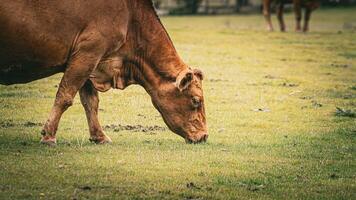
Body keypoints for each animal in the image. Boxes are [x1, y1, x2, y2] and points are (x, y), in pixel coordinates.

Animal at [0, 0, 209, 146]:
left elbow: (91, 102)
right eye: (196, 100)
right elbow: (65, 97)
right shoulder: (88, 53)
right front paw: (49, 136)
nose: (204, 136)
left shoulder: (91, 62)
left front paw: (99, 136)